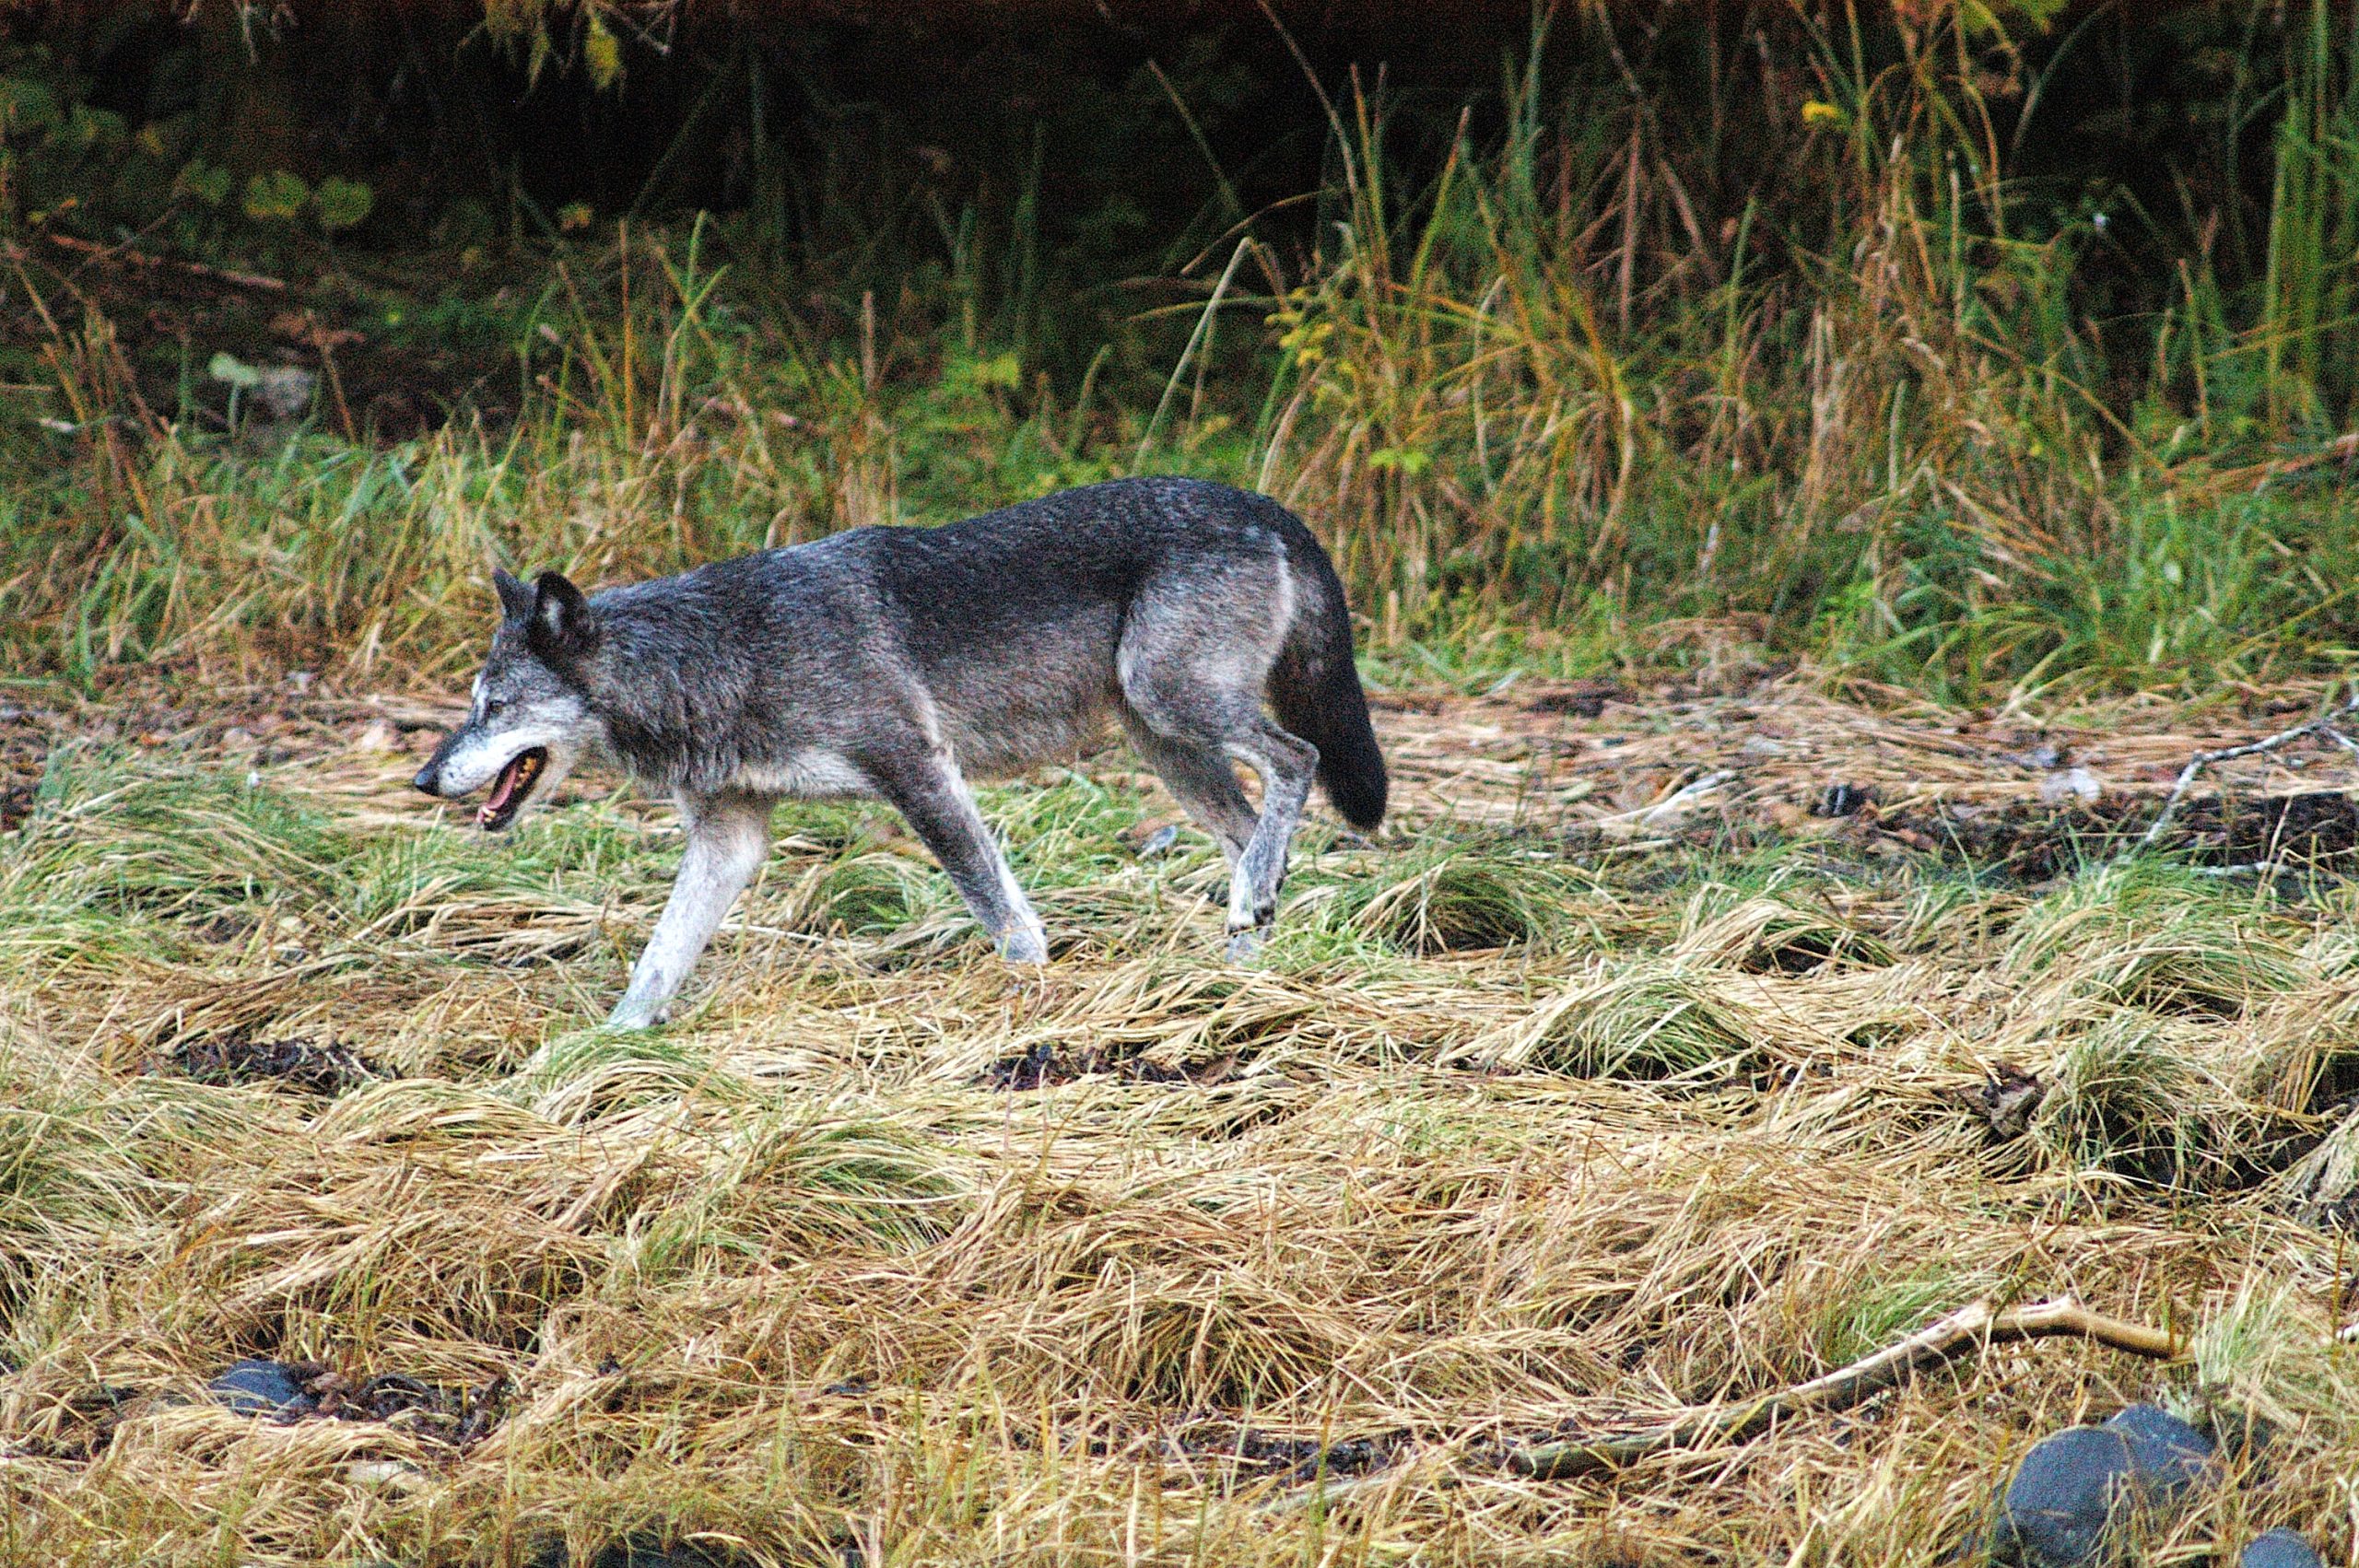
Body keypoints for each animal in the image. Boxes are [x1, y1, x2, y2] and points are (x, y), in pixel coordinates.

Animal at [415, 475, 1387, 1027]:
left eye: (493, 707)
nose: (423, 778)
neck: (723, 651)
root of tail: (1267, 508)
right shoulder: (731, 840)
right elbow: (656, 965)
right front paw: (598, 1057)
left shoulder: (919, 770)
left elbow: (1005, 917)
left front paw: (1032, 1007)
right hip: (1167, 745)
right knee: (1255, 837)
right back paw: (1246, 959)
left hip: (1175, 706)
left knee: (1297, 761)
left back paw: (1246, 925)